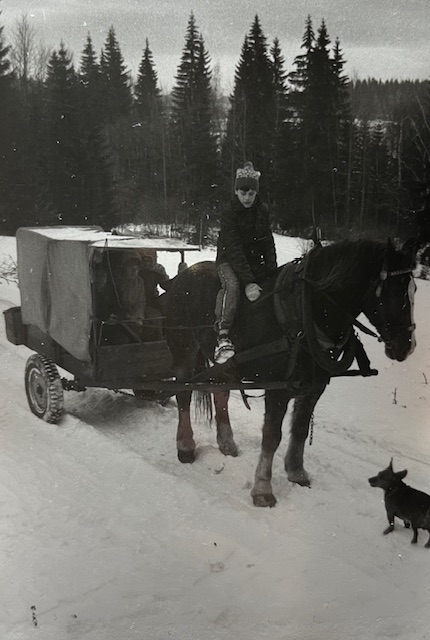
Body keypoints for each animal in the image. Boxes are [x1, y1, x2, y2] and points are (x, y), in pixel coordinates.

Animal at [164, 238, 417, 507]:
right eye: (393, 292)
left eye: (414, 290)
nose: (407, 346)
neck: (308, 313)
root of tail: (180, 279)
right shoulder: (278, 388)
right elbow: (272, 436)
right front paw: (262, 489)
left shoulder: (314, 386)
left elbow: (300, 429)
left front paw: (296, 472)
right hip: (184, 352)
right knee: (183, 395)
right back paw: (186, 446)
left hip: (228, 364)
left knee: (219, 392)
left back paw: (227, 443)